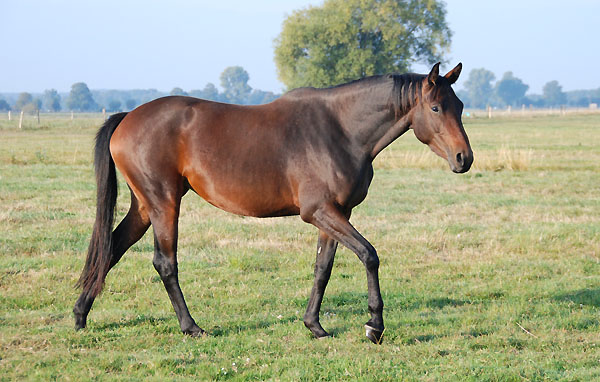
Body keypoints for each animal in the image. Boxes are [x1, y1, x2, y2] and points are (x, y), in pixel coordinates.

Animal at [72, 62, 472, 344]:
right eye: (436, 107)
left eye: (461, 105)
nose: (464, 158)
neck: (340, 130)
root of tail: (128, 116)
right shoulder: (319, 212)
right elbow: (369, 255)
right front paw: (374, 325)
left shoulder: (337, 213)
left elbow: (323, 268)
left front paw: (314, 326)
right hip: (164, 204)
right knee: (164, 263)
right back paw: (191, 327)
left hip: (144, 207)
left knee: (111, 249)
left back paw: (79, 315)